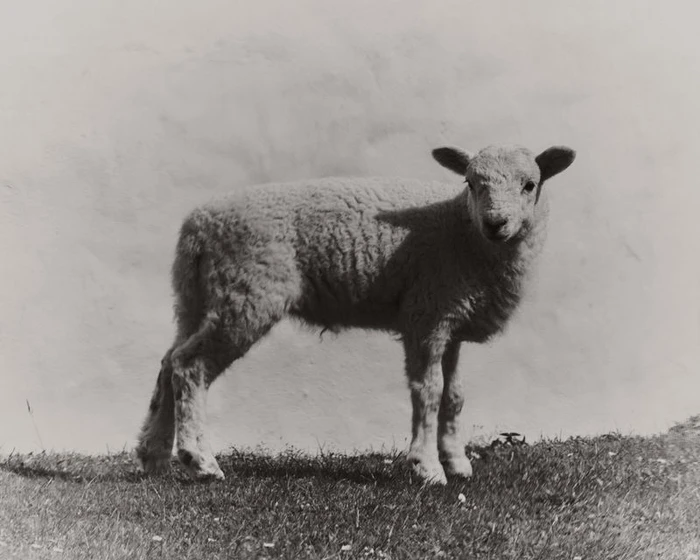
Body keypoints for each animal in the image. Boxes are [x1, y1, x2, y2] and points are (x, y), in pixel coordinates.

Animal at [135, 143, 576, 485]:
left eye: (530, 184)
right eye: (471, 182)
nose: (496, 222)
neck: (462, 231)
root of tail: (198, 225)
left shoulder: (451, 319)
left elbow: (454, 396)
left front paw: (457, 463)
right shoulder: (426, 314)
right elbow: (429, 392)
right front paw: (427, 468)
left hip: (197, 298)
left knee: (168, 362)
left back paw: (153, 454)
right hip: (245, 294)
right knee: (190, 367)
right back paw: (199, 461)